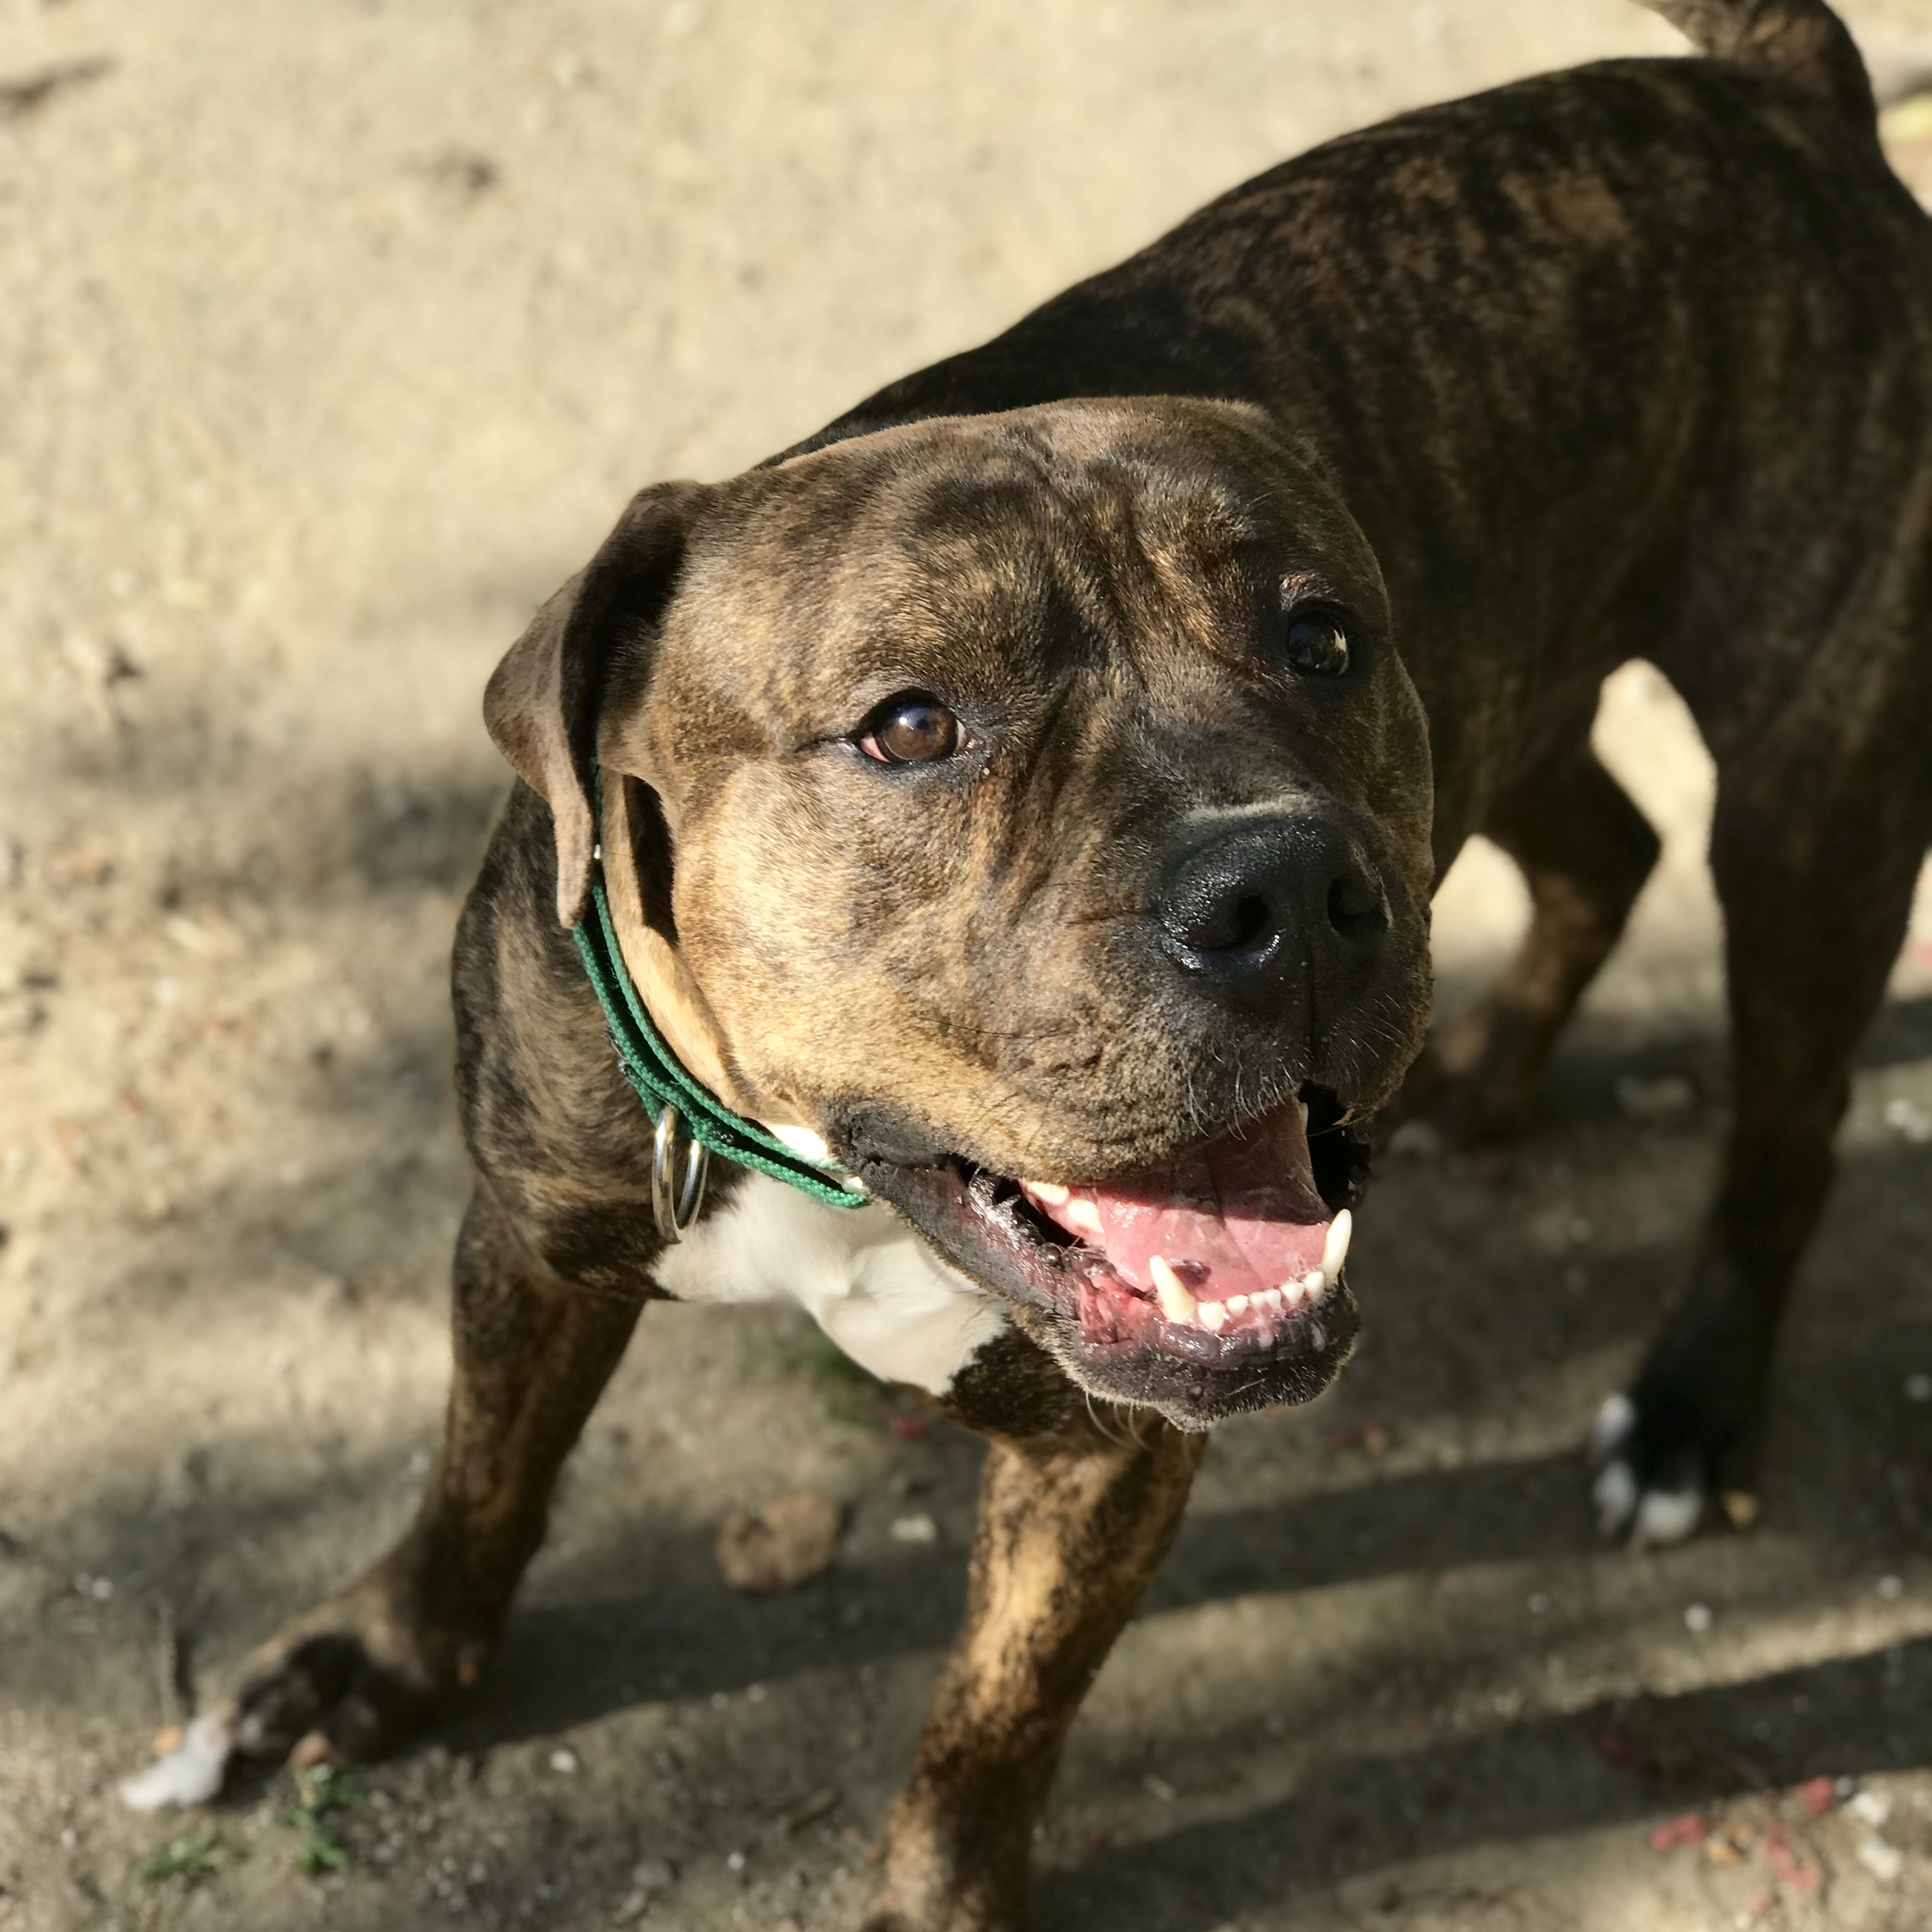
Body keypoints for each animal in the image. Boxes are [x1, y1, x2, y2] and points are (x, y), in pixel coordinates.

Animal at [222, 7, 1932, 1924]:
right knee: (1608, 850)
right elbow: (482, 1470)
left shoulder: (1104, 1453)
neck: (821, 1170)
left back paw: (1688, 1410)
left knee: (1781, 1130)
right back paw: (1480, 1078)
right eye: (909, 726)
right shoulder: (528, 1236)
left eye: (1322, 639)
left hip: (1813, 794)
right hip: (1520, 701)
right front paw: (385, 1659)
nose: (1290, 891)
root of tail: (1781, 101)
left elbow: (995, 1716)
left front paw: (938, 1888)